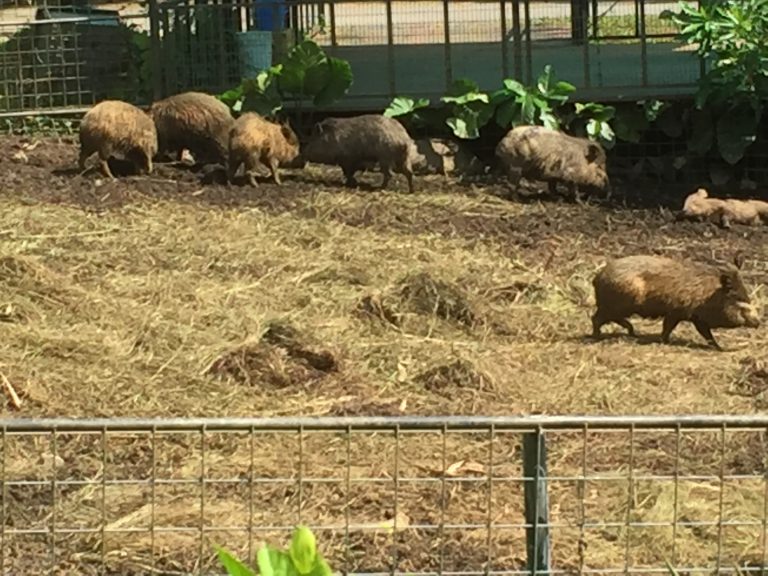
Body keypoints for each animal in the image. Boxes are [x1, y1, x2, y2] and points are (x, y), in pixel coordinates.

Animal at [591, 253, 760, 350]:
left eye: (746, 295)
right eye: (738, 297)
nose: (758, 322)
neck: (707, 294)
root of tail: (597, 278)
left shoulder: (696, 318)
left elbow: (706, 334)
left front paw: (719, 347)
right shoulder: (676, 312)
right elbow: (668, 327)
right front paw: (664, 341)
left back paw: (632, 333)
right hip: (619, 304)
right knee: (596, 318)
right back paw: (598, 336)